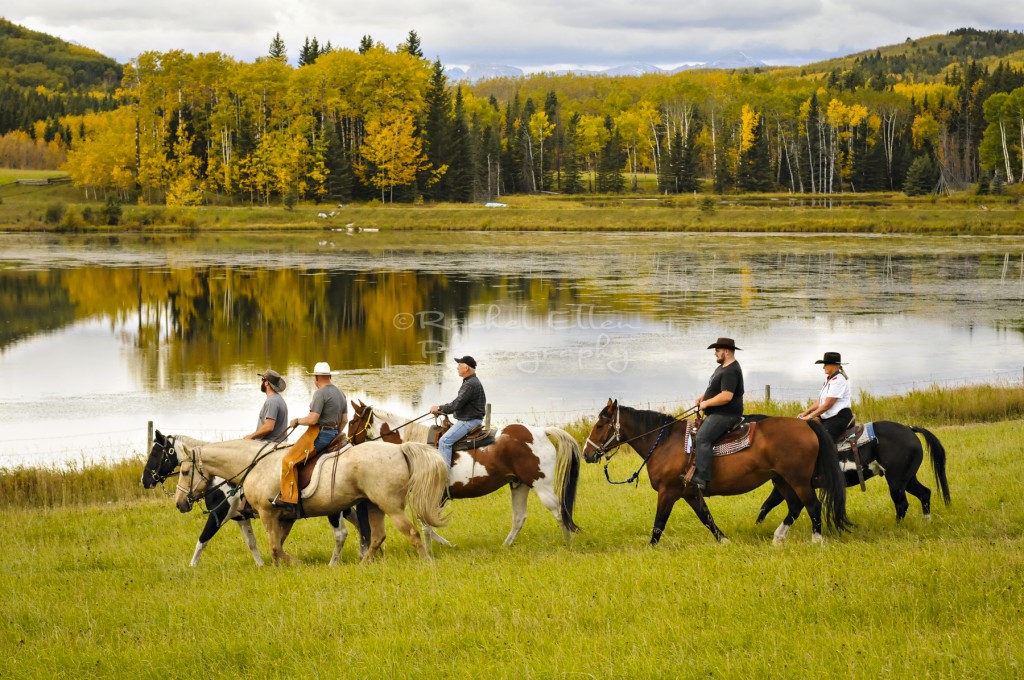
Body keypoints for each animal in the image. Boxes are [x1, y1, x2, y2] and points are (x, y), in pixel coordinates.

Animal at [348, 401, 581, 544]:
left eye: (352, 421)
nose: (346, 443)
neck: (413, 446)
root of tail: (542, 432)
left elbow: (427, 523)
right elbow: (427, 523)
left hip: (541, 485)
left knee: (560, 511)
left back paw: (567, 543)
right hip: (519, 485)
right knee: (519, 518)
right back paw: (506, 545)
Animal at [581, 401, 851, 544]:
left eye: (600, 425)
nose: (586, 453)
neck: (664, 442)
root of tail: (806, 424)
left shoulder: (668, 492)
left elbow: (659, 524)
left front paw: (650, 548)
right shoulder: (690, 492)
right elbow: (706, 517)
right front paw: (725, 541)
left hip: (798, 479)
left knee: (812, 505)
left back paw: (816, 541)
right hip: (781, 478)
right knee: (795, 506)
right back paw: (777, 539)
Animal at [753, 419, 950, 524]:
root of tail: (909, 429)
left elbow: (768, 504)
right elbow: (766, 505)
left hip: (896, 480)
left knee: (902, 503)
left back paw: (898, 526)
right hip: (907, 479)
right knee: (924, 493)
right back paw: (926, 522)